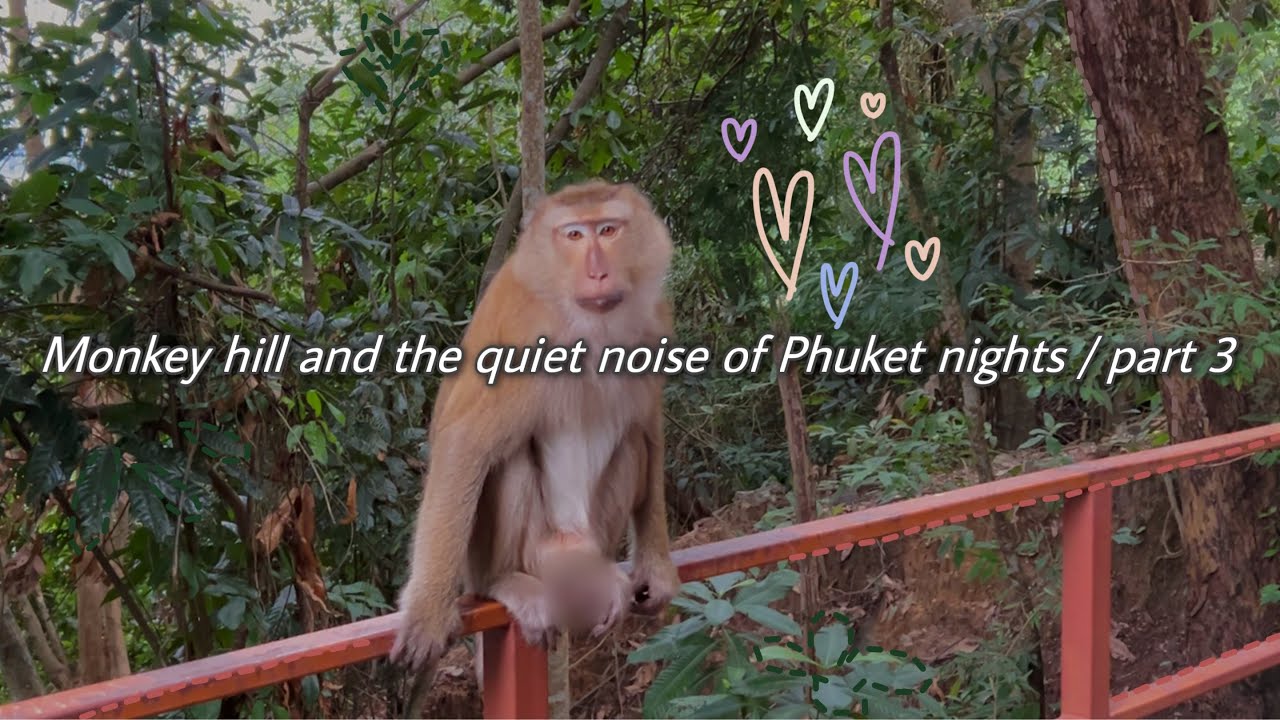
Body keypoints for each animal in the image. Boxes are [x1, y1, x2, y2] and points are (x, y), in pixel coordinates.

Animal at [392, 180, 682, 672]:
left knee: (632, 444)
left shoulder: (654, 323)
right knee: (506, 459)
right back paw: (503, 580)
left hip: (591, 534)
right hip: (530, 550)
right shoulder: (528, 338)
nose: (598, 272)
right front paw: (428, 613)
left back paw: (591, 574)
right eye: (574, 235)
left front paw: (656, 567)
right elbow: (466, 442)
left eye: (608, 229)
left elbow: (648, 429)